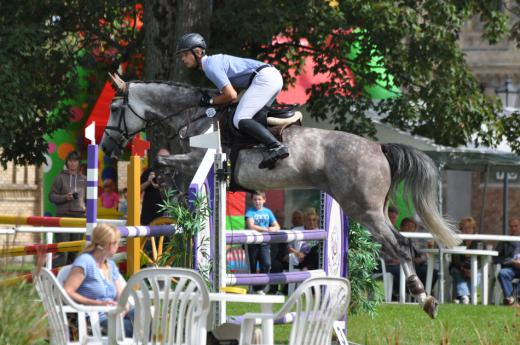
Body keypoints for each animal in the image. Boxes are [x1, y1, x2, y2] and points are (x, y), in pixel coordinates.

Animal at [100, 75, 460, 318]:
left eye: (115, 108)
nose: (106, 147)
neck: (195, 115)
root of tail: (379, 147)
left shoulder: (196, 159)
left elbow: (165, 162)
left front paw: (164, 191)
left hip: (364, 210)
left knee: (400, 246)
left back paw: (425, 299)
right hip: (372, 208)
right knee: (400, 244)